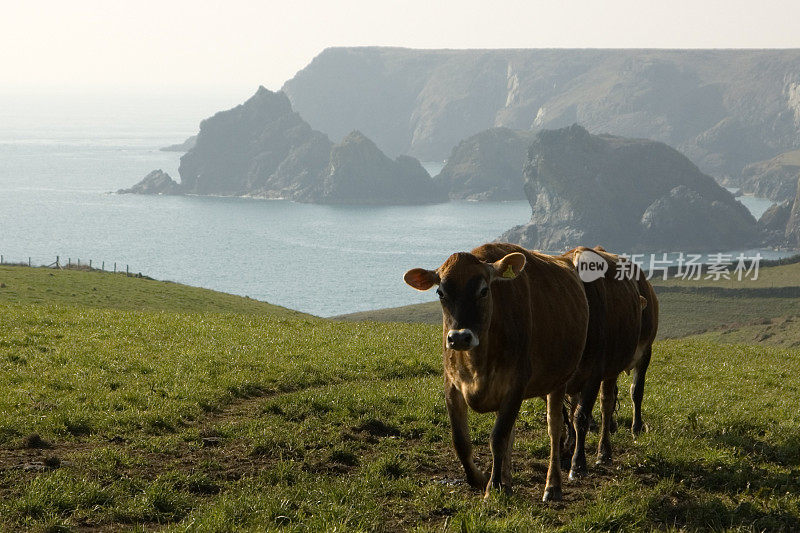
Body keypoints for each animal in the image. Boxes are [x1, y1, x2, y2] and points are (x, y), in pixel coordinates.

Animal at [406, 243, 588, 500]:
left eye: (484, 290)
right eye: (440, 292)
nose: (459, 337)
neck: (477, 364)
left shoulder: (516, 384)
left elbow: (498, 438)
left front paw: (492, 487)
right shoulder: (451, 385)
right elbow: (461, 441)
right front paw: (483, 479)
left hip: (559, 379)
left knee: (554, 429)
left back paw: (552, 487)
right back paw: (507, 482)